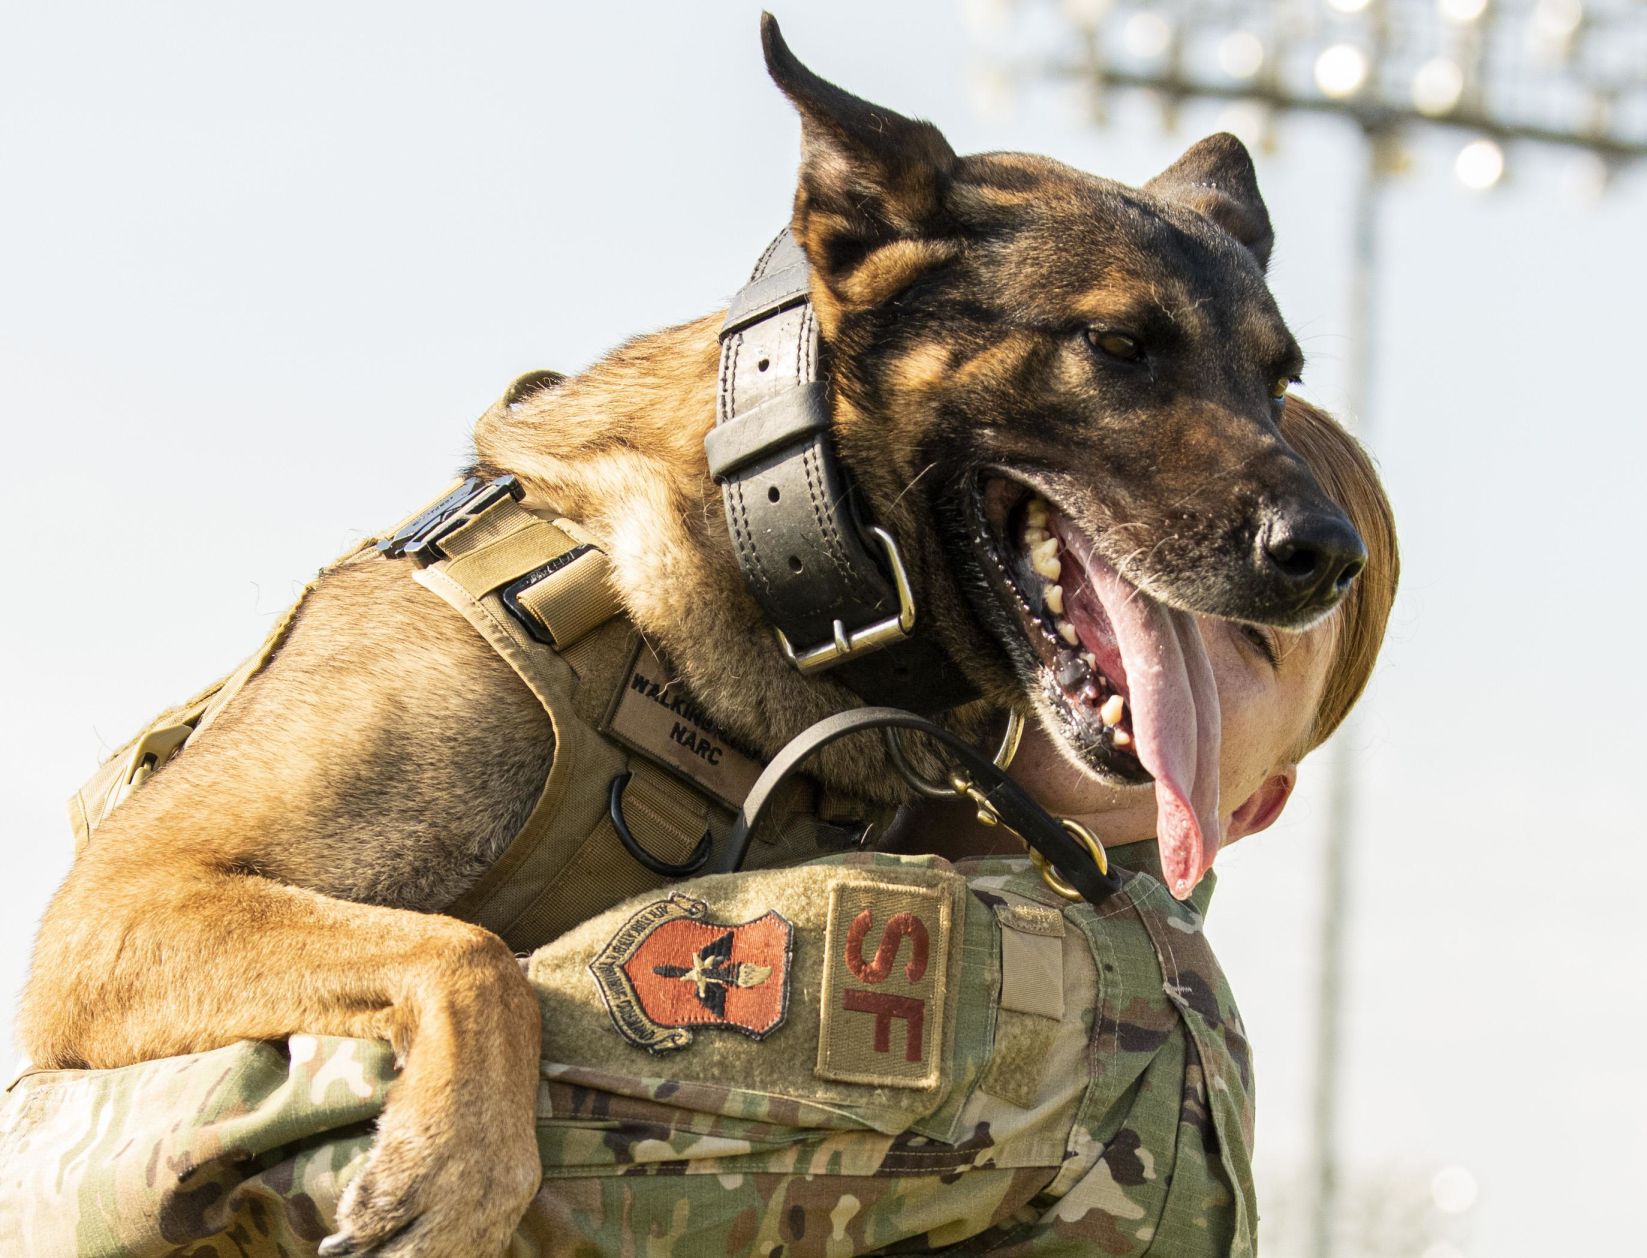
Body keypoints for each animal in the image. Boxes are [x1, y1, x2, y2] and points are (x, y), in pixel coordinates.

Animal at [22, 12, 1363, 1258]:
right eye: (1117, 343)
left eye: (1279, 379)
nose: (1331, 554)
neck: (755, 570)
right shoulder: (119, 909)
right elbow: (471, 950)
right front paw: (459, 1170)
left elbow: (471, 951)